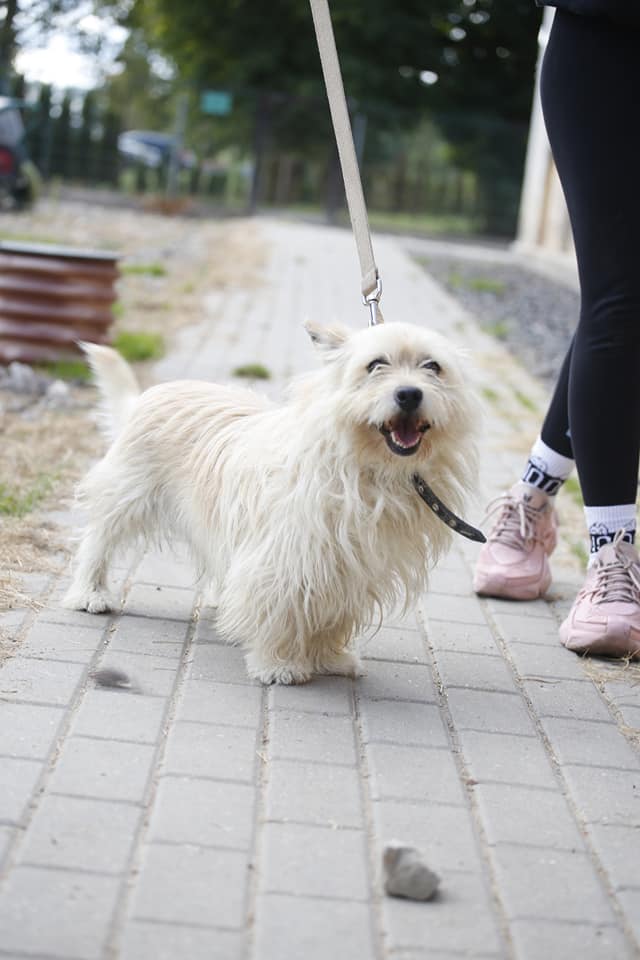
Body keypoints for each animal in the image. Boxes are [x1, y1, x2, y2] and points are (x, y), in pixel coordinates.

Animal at [63, 320, 478, 684]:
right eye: (376, 364)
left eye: (433, 367)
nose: (409, 393)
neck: (372, 470)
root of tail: (145, 397)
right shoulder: (286, 554)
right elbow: (279, 608)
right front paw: (277, 663)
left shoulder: (354, 562)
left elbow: (336, 612)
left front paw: (328, 656)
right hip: (127, 494)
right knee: (99, 538)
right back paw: (89, 592)